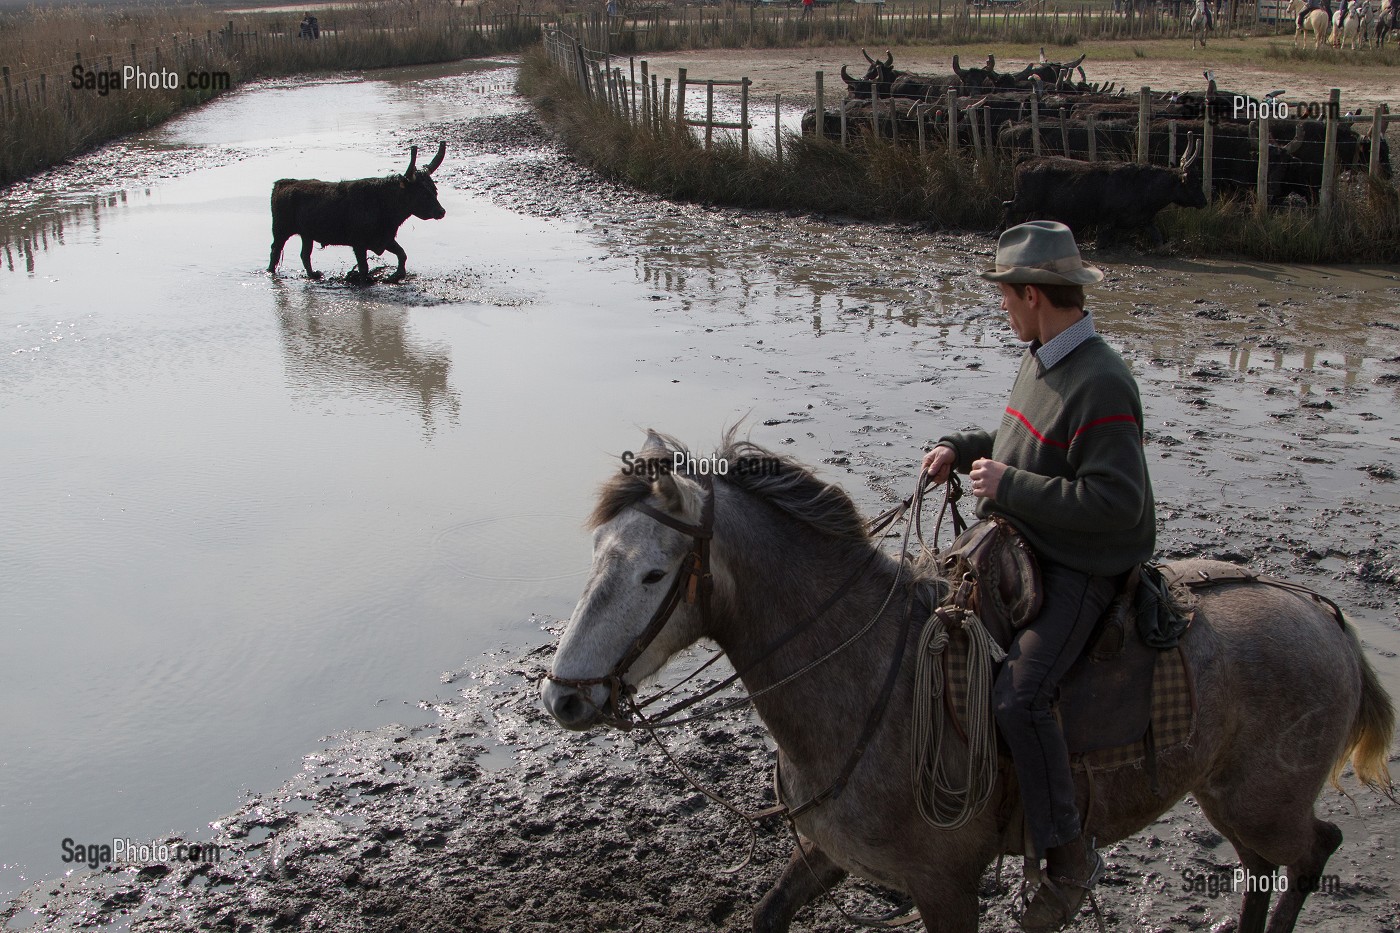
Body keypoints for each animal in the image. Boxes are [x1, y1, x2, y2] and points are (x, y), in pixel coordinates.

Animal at [267, 141, 448, 282]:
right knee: (275, 250)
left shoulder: (385, 239)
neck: (383, 203)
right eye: (422, 194)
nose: (441, 212)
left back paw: (313, 275)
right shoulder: (359, 243)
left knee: (305, 254)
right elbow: (364, 267)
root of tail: (282, 183)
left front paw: (396, 275)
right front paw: (365, 281)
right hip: (280, 230)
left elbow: (402, 254)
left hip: (307, 235)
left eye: (434, 190)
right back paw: (270, 272)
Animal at [537, 434, 1388, 930]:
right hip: (1230, 798)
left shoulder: (945, 887)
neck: (868, 682)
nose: (563, 696)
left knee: (1311, 853)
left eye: (653, 573)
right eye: (597, 555)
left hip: (1266, 800)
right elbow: (767, 913)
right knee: (1260, 871)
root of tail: (1320, 612)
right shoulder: (827, 852)